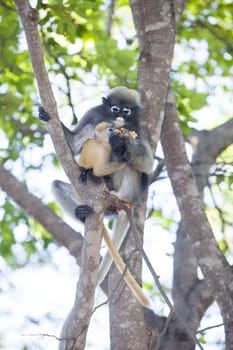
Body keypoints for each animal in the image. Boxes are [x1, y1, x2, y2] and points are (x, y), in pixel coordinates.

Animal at [39, 87, 154, 306]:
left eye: (126, 111)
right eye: (114, 108)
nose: (118, 117)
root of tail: (128, 203)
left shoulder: (137, 128)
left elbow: (147, 164)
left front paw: (121, 145)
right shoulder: (94, 114)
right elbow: (74, 144)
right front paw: (45, 115)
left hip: (129, 189)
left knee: (128, 164)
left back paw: (109, 178)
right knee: (57, 184)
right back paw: (83, 211)